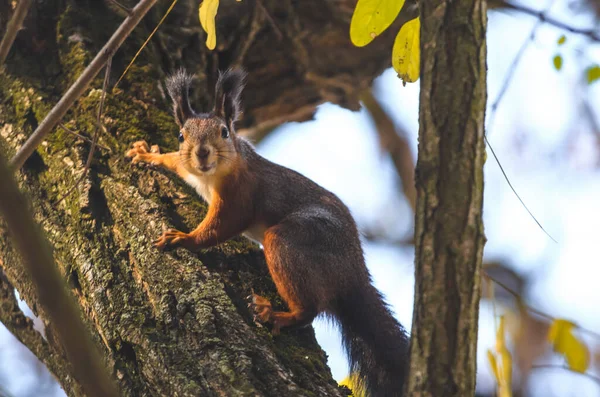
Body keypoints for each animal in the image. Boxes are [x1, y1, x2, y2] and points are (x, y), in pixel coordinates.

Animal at [125, 68, 410, 396]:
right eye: (181, 136)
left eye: (224, 132)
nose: (202, 153)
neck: (212, 176)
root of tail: (354, 273)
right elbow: (175, 162)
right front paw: (149, 155)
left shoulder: (240, 195)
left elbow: (222, 226)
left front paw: (185, 239)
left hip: (296, 240)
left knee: (309, 309)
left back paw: (277, 314)